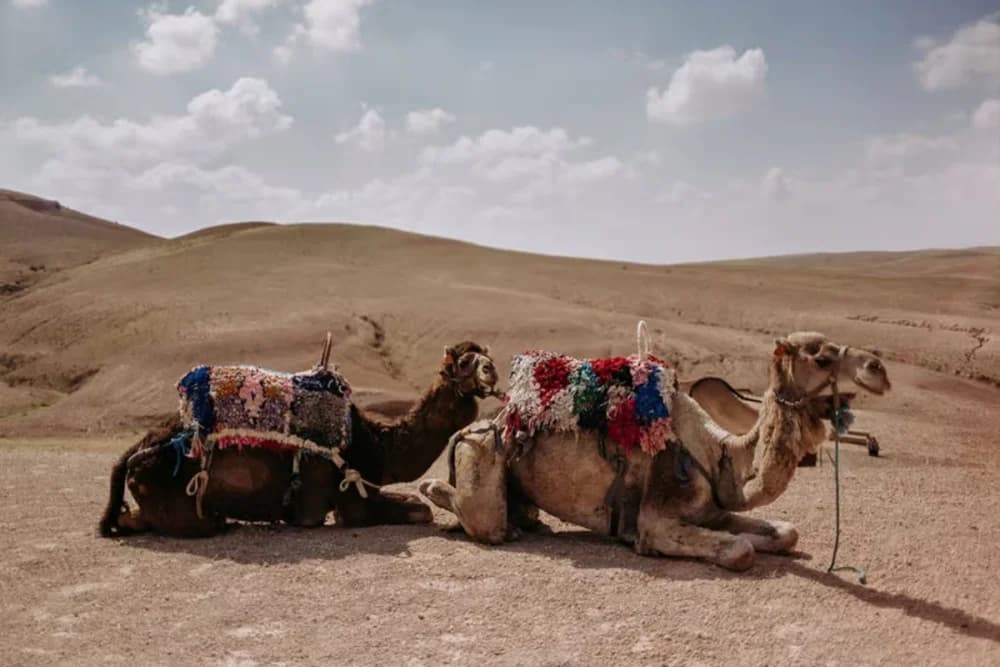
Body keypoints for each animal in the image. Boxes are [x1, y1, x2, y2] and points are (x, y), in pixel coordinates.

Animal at [99, 339, 500, 538]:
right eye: (465, 362)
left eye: (486, 357)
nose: (491, 370)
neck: (376, 445)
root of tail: (131, 456)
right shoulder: (351, 502)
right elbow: (419, 510)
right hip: (185, 508)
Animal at [420, 332, 891, 571]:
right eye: (821, 357)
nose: (879, 368)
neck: (719, 453)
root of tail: (477, 426)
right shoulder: (658, 516)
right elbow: (740, 551)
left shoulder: (712, 510)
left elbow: (786, 532)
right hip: (481, 452)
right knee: (483, 519)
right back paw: (436, 494)